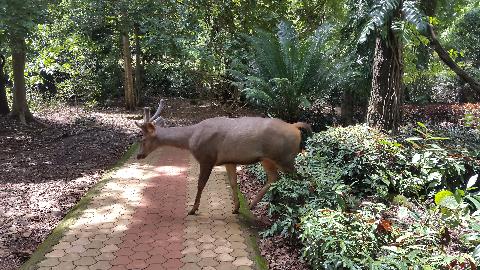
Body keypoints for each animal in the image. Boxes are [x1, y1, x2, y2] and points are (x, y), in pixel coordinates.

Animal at [135, 99, 312, 215]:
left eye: (142, 139)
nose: (138, 155)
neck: (191, 138)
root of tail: (295, 127)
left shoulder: (207, 157)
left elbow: (200, 184)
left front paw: (193, 209)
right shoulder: (229, 161)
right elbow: (233, 183)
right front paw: (236, 207)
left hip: (284, 157)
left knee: (304, 178)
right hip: (267, 159)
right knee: (274, 177)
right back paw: (253, 204)